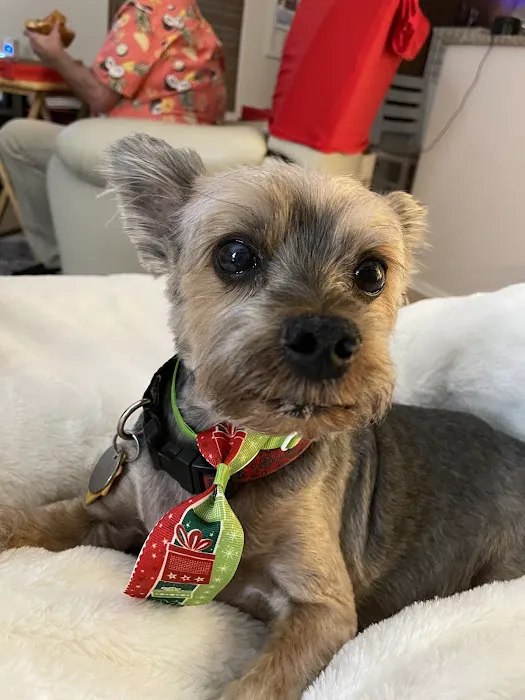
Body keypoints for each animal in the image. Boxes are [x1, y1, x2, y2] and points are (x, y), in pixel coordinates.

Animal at [1, 134, 525, 700]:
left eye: (372, 273)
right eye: (235, 254)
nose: (325, 336)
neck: (229, 457)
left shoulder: (322, 610)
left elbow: (259, 684)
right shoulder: (106, 513)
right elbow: (31, 520)